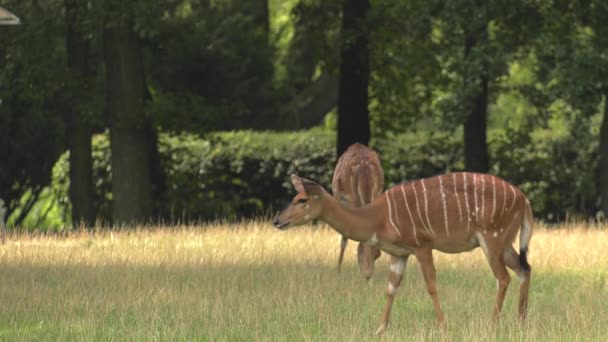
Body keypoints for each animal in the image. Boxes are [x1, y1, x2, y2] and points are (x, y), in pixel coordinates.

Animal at [274, 172, 532, 332]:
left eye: (302, 199)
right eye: (294, 197)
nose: (278, 220)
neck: (378, 218)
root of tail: (524, 199)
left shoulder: (422, 245)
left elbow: (431, 285)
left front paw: (443, 326)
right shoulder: (399, 253)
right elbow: (391, 288)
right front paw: (379, 329)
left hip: (492, 238)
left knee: (504, 277)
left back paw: (492, 324)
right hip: (504, 242)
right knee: (524, 269)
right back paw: (520, 322)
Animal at [330, 143, 382, 280]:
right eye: (377, 255)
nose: (369, 274)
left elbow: (344, 237)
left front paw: (337, 272)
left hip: (352, 196)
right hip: (377, 192)